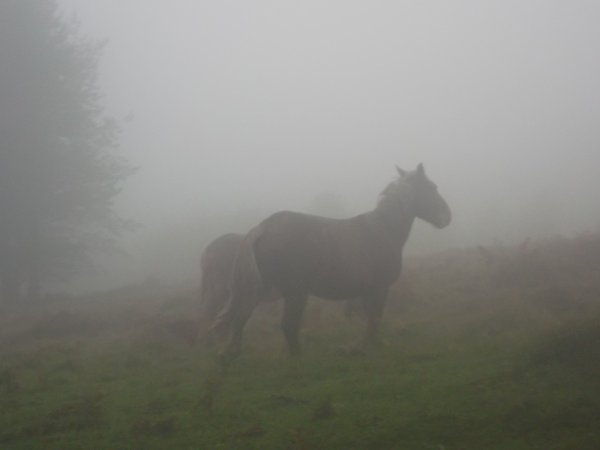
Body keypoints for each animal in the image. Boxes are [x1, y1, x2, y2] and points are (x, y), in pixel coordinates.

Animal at [211, 163, 450, 356]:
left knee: (242, 318)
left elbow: (370, 320)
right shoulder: (379, 288)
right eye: (432, 188)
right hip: (294, 292)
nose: (447, 217)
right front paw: (361, 347)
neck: (382, 230)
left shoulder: (366, 292)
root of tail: (264, 227)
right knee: (286, 325)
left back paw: (230, 353)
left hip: (263, 290)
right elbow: (374, 320)